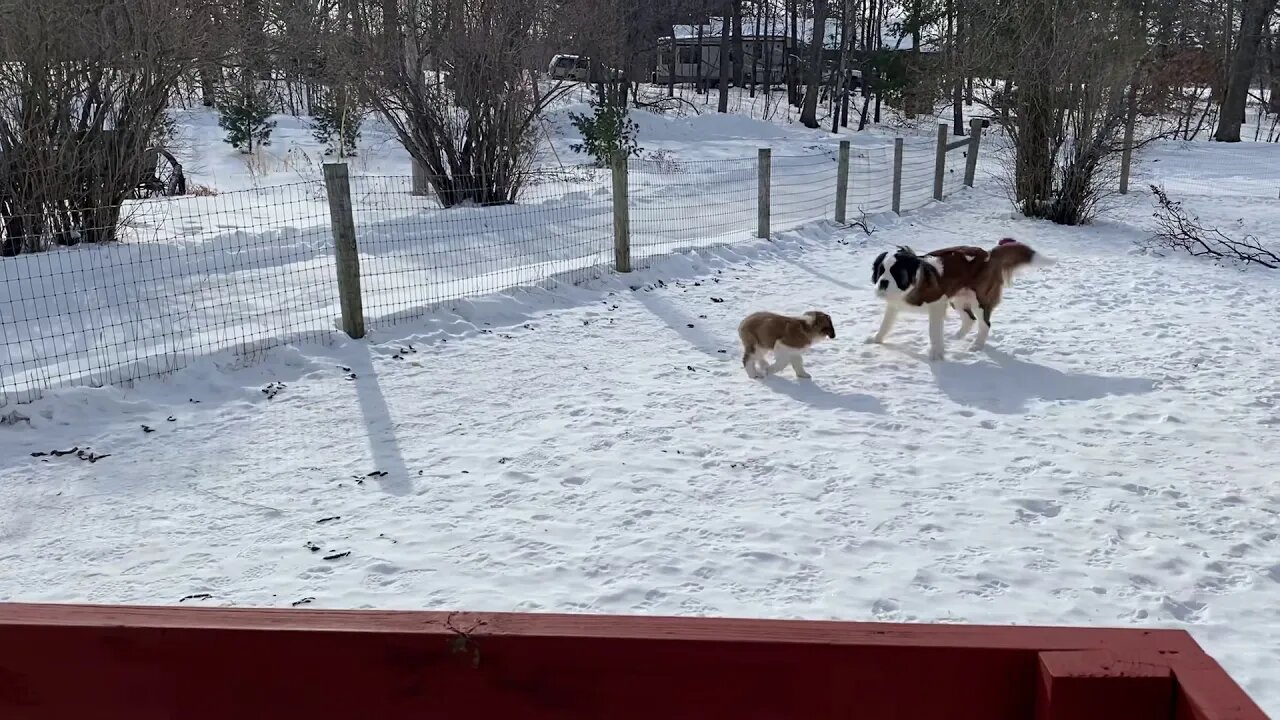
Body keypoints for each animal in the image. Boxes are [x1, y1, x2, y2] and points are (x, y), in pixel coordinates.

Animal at [865, 237, 1054, 358]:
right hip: (957, 299)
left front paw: (935, 354)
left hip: (979, 299)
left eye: (896, 273)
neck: (911, 284)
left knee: (985, 324)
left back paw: (976, 345)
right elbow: (885, 324)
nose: (883, 283)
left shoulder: (937, 304)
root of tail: (988, 254)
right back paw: (956, 337)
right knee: (969, 319)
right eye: (880, 271)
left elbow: (933, 331)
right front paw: (876, 339)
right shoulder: (893, 305)